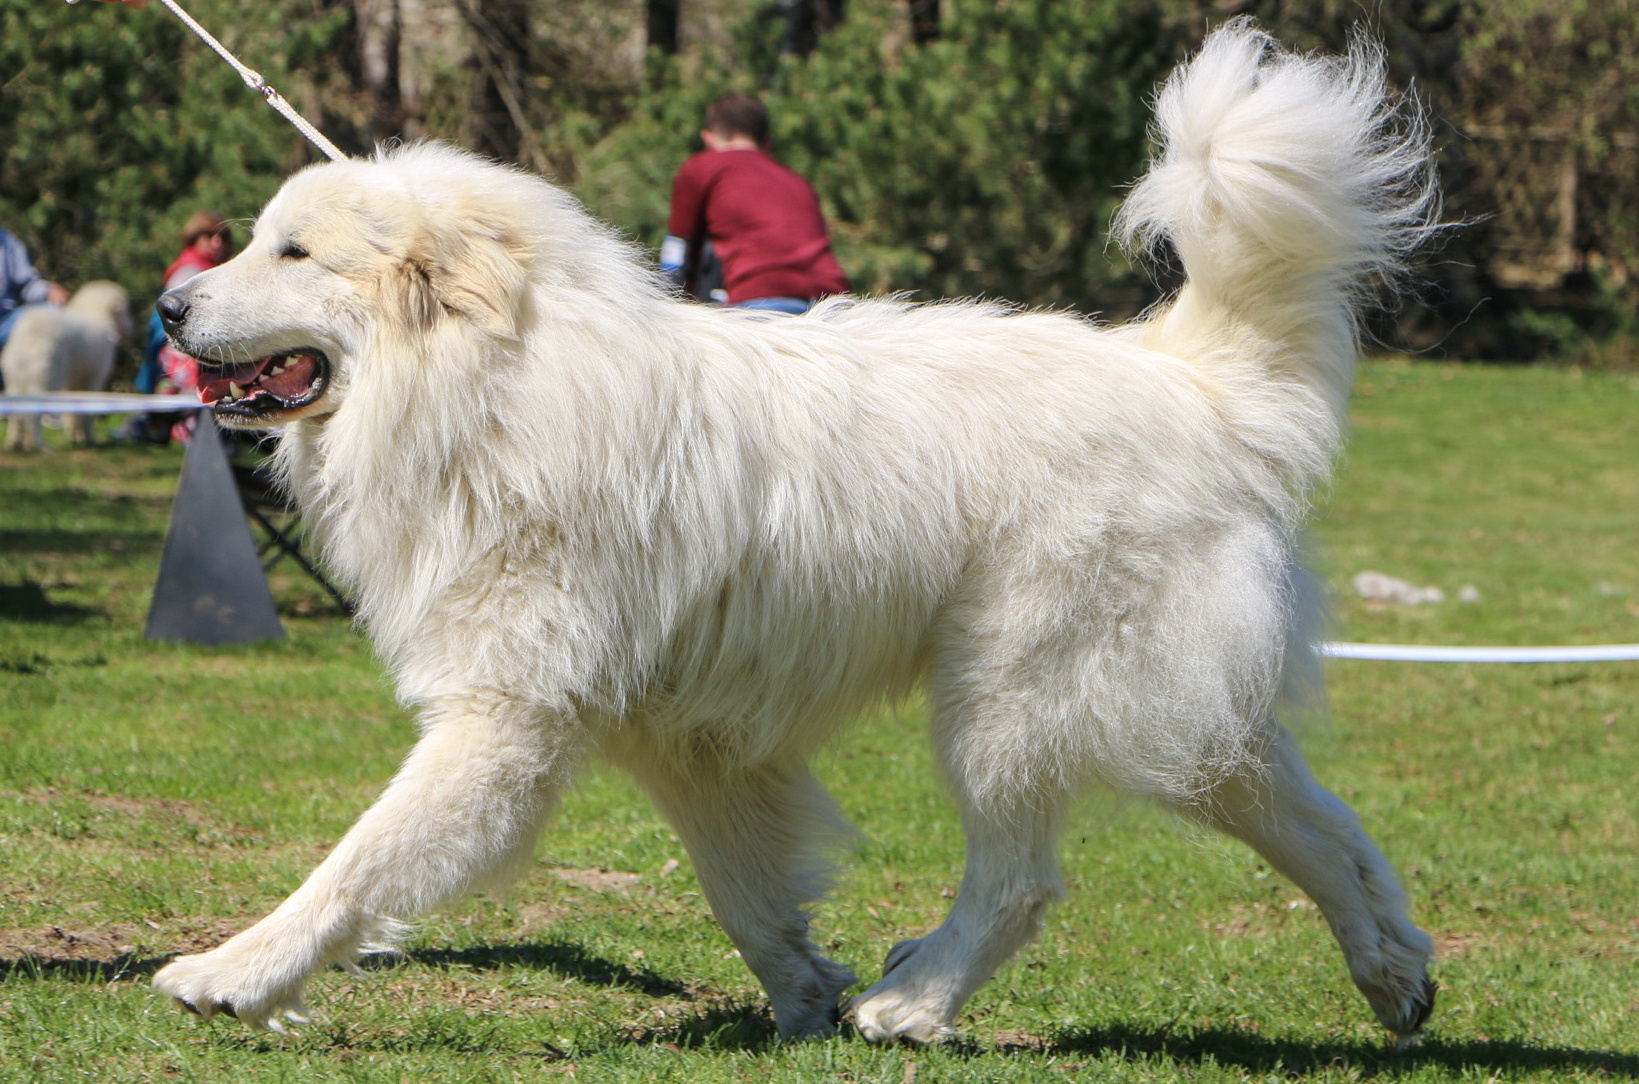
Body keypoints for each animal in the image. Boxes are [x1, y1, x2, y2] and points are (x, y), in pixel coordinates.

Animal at [0, 280, 132, 449]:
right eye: (126, 310)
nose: (132, 327)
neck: (97, 315)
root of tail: (27, 334)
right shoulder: (93, 379)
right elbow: (87, 414)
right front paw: (88, 439)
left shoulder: (72, 383)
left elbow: (72, 412)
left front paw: (75, 437)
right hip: (47, 377)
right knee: (34, 411)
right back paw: (37, 445)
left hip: (16, 377)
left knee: (16, 413)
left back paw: (14, 442)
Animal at [150, 19, 1435, 1043]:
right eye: (257, 238)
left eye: (292, 252)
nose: (167, 306)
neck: (491, 382)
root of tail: (1186, 374)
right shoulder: (689, 736)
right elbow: (746, 894)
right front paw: (803, 994)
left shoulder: (503, 717)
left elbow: (357, 859)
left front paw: (234, 971)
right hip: (1174, 709)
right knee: (1323, 829)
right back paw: (1396, 973)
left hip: (1010, 702)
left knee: (1021, 878)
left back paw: (914, 1001)